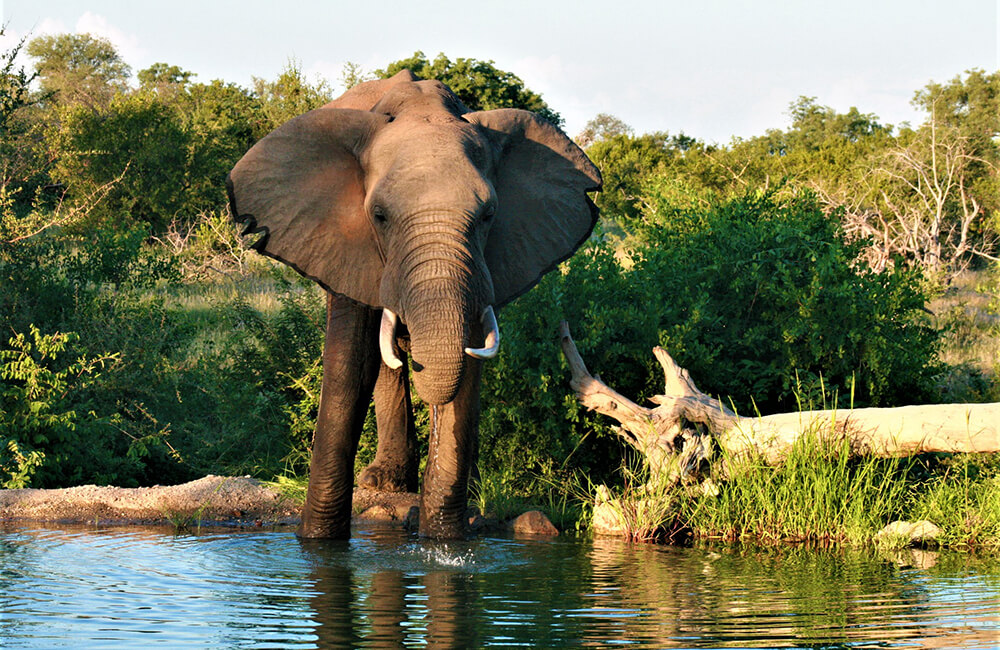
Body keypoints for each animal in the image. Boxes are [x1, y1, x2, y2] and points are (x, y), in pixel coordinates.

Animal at [227, 70, 601, 539]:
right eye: (380, 216)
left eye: (488, 215)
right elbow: (352, 367)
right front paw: (317, 541)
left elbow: (467, 371)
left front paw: (444, 541)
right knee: (385, 361)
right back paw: (383, 482)